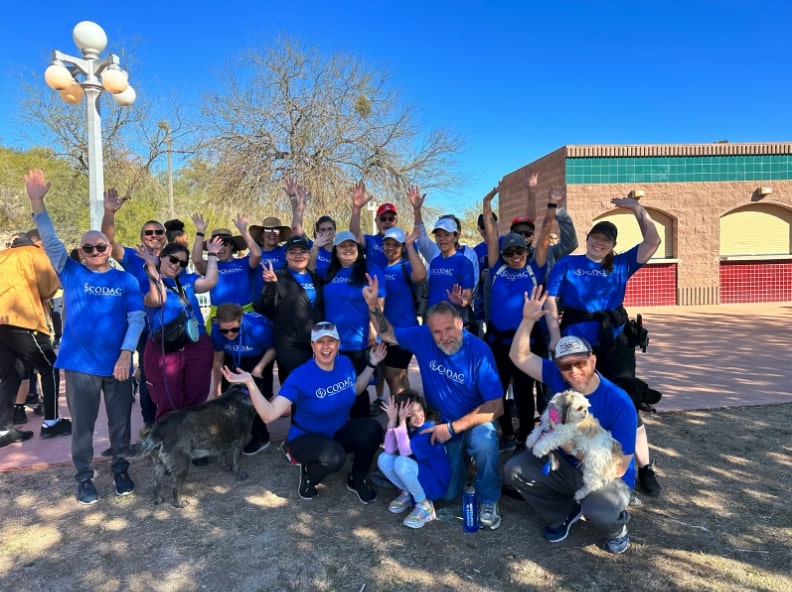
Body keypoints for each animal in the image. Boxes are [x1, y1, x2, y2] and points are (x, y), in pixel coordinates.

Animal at [120, 386, 256, 506]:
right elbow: (237, 463)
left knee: (156, 485)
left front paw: (226, 467)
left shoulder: (222, 442)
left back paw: (157, 500)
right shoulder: (239, 444)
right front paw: (239, 475)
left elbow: (223, 455)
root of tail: (158, 429)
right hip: (182, 466)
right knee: (175, 488)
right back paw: (180, 504)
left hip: (159, 466)